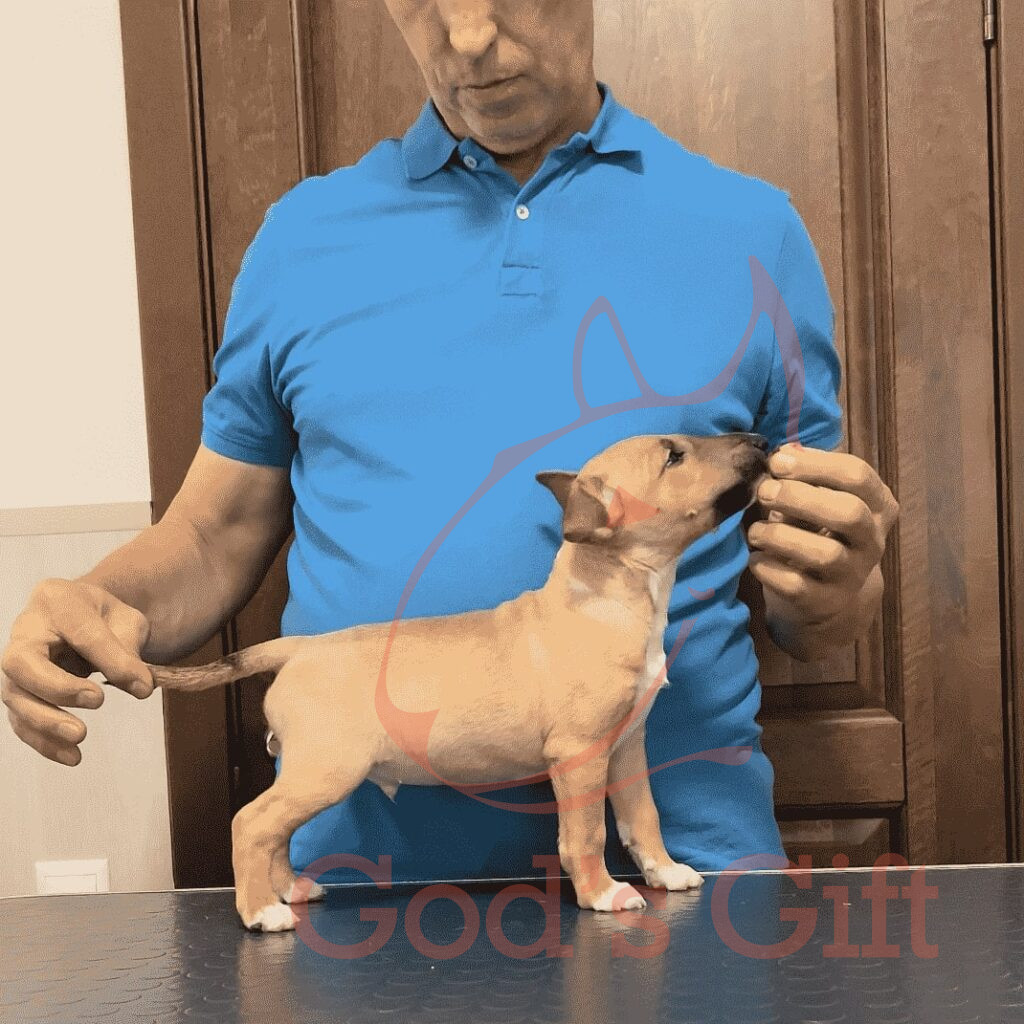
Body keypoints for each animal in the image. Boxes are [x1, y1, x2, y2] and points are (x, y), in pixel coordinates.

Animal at [147, 431, 770, 931]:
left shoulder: (626, 749)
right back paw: (260, 912)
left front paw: (666, 873)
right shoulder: (579, 756)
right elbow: (587, 835)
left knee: (275, 831)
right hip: (325, 769)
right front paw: (602, 895)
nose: (762, 439)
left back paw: (290, 890)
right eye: (674, 455)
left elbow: (644, 817)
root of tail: (299, 648)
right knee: (253, 823)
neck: (607, 596)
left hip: (312, 773)